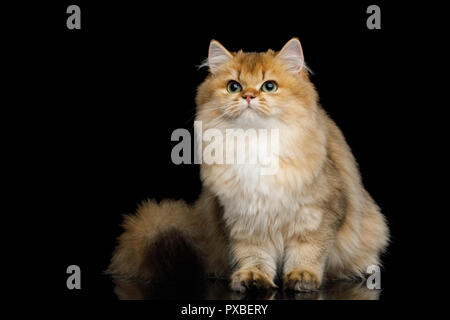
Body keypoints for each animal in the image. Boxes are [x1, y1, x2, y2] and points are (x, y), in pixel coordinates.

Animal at [106, 38, 390, 292]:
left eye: (269, 86)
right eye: (234, 86)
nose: (249, 96)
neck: (255, 143)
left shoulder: (319, 215)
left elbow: (307, 252)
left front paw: (302, 277)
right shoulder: (245, 220)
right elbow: (254, 255)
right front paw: (253, 277)